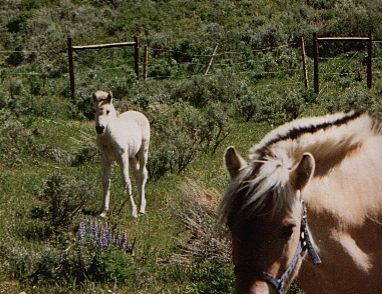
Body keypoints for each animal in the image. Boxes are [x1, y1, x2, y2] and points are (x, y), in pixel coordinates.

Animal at [92, 90, 151, 218]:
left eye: (108, 111)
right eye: (94, 110)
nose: (100, 128)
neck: (109, 137)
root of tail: (139, 113)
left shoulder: (122, 157)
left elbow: (126, 181)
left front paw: (133, 211)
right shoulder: (105, 158)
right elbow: (106, 181)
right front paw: (103, 211)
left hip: (143, 152)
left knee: (142, 175)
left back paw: (141, 208)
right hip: (132, 157)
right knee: (137, 175)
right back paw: (142, 204)